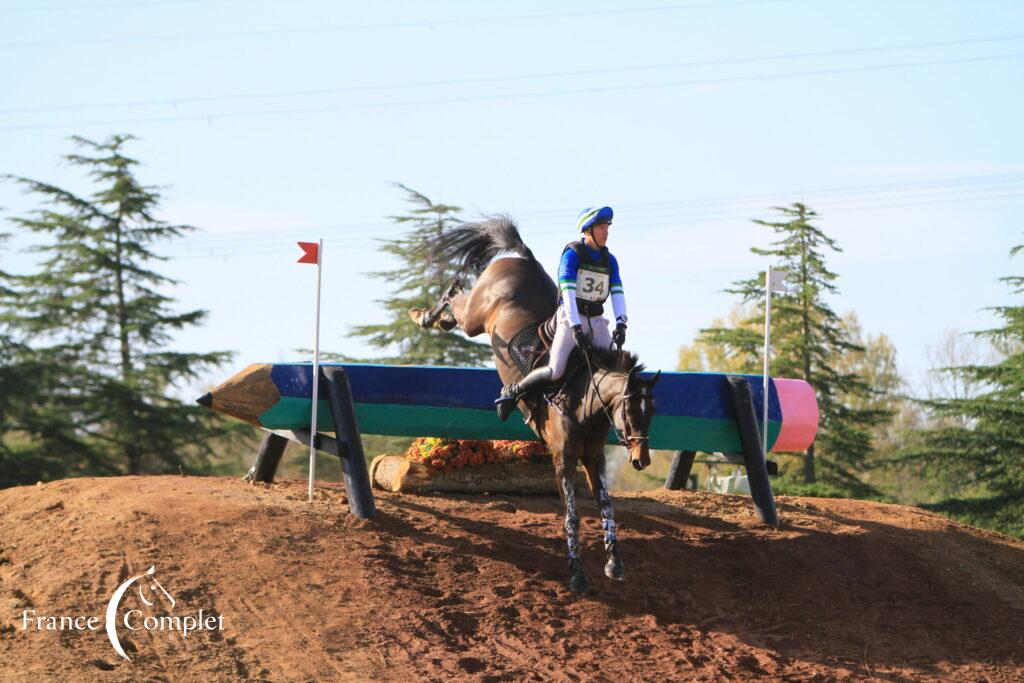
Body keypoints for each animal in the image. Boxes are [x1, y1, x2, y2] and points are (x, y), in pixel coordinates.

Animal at [407, 218, 655, 593]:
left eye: (652, 411)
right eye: (628, 411)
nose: (641, 460)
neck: (586, 405)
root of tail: (523, 257)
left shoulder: (593, 456)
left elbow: (607, 506)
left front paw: (614, 563)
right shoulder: (563, 458)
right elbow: (572, 516)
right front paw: (577, 574)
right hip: (477, 317)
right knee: (456, 297)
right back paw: (425, 315)